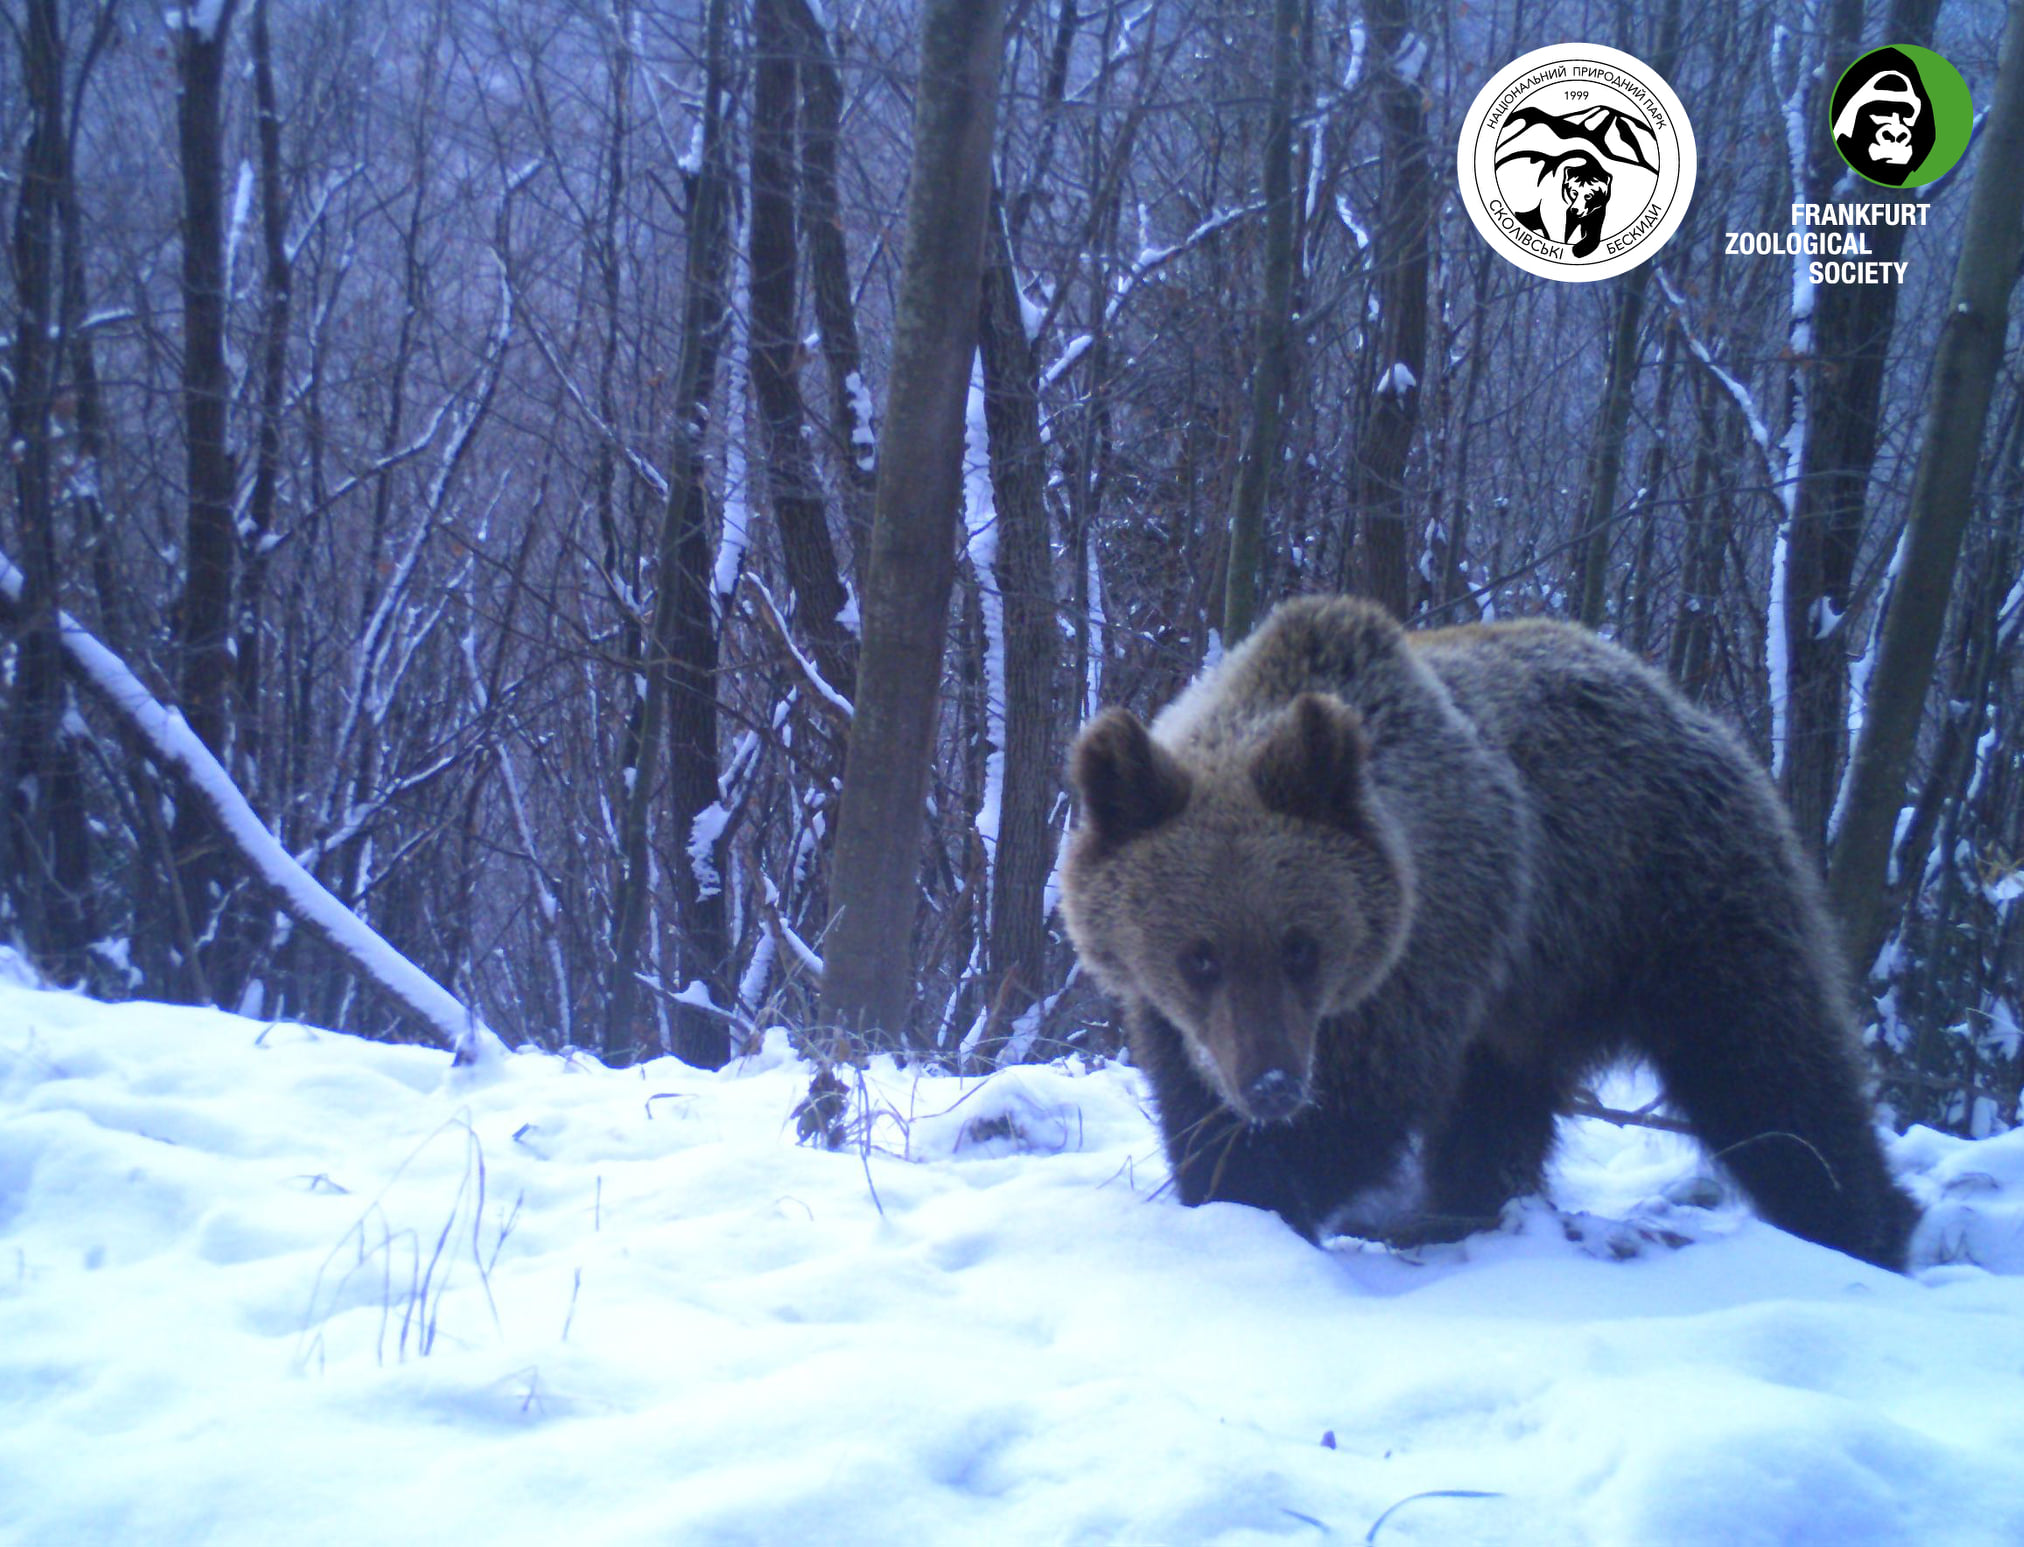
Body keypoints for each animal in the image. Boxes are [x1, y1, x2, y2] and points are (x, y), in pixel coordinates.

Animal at [1060, 591, 1910, 1271]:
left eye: (1301, 945)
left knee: (1771, 1070)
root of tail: (1696, 711)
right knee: (1503, 1110)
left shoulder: (1427, 962)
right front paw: (1226, 1190)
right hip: (1536, 993)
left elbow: (1360, 1112)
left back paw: (1865, 1228)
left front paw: (1270, 1192)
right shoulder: (1176, 1020)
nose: (1272, 1084)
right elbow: (1193, 1106)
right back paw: (1462, 1214)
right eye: (1198, 956)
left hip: (1678, 908)